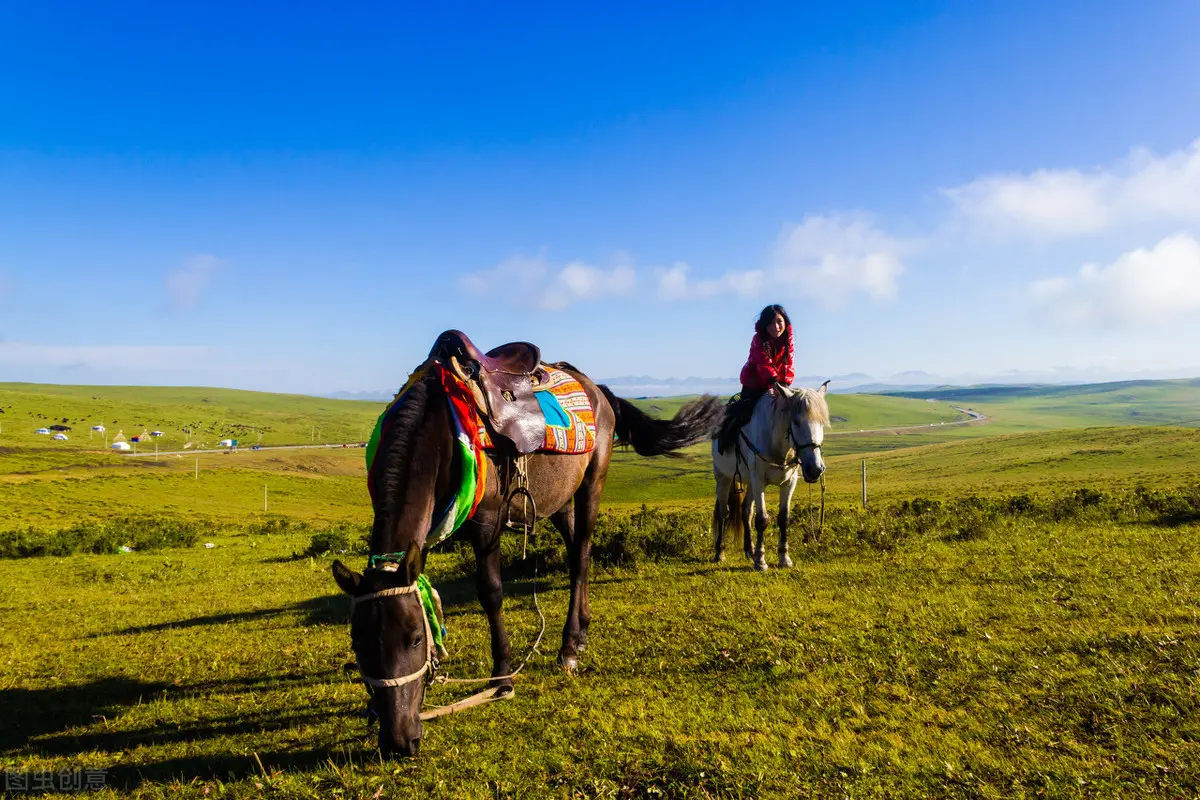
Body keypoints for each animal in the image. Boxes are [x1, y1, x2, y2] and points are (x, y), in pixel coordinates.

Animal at [331, 340, 720, 762]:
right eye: (357, 642)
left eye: (416, 639)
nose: (399, 742)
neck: (439, 432)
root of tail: (597, 390)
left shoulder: (486, 523)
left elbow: (490, 592)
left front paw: (501, 677)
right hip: (560, 501)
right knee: (576, 554)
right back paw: (581, 632)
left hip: (591, 486)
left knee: (580, 557)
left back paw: (568, 648)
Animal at [705, 383, 830, 573]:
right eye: (796, 422)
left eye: (822, 423)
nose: (815, 469)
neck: (777, 444)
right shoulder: (759, 482)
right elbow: (762, 519)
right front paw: (761, 561)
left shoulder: (789, 483)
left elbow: (784, 518)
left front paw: (784, 558)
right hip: (723, 478)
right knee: (723, 513)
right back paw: (720, 553)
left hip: (748, 482)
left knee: (746, 511)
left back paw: (749, 550)